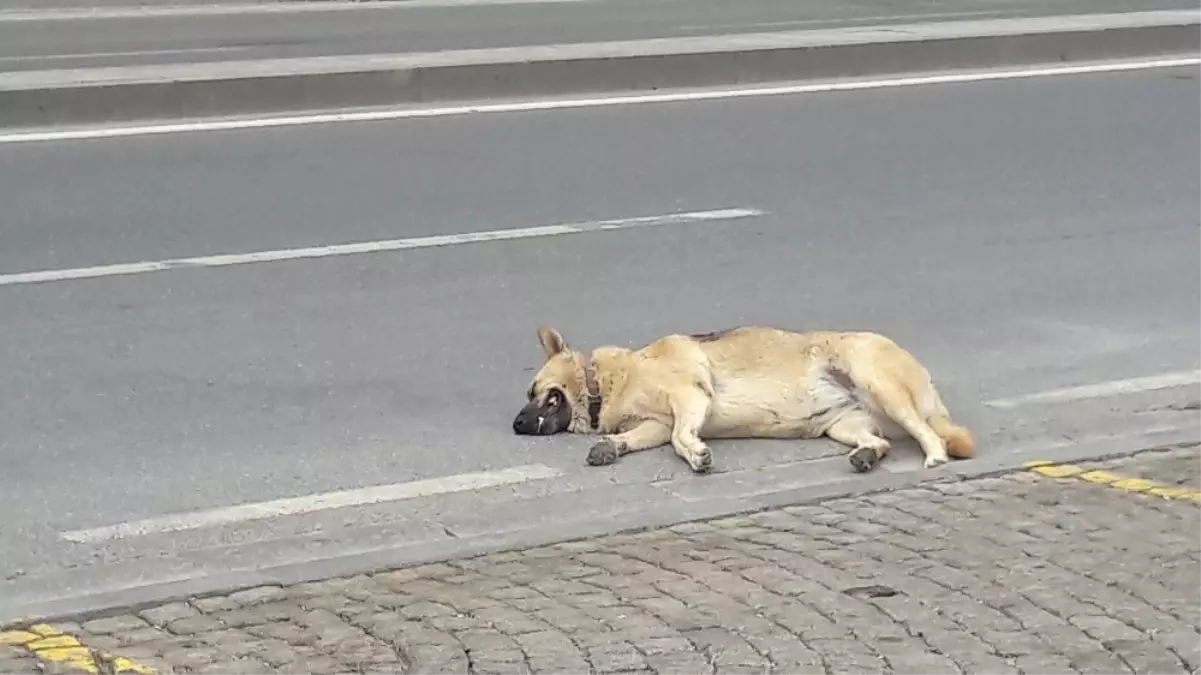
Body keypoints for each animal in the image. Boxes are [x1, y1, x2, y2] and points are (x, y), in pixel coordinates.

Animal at [509, 321, 975, 470]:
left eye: (537, 393)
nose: (515, 424)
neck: (605, 383)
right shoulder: (654, 424)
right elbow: (639, 438)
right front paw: (610, 446)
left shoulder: (689, 399)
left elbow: (680, 438)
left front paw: (696, 454)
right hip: (844, 425)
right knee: (879, 442)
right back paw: (867, 456)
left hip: (880, 386)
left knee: (928, 433)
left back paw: (934, 456)